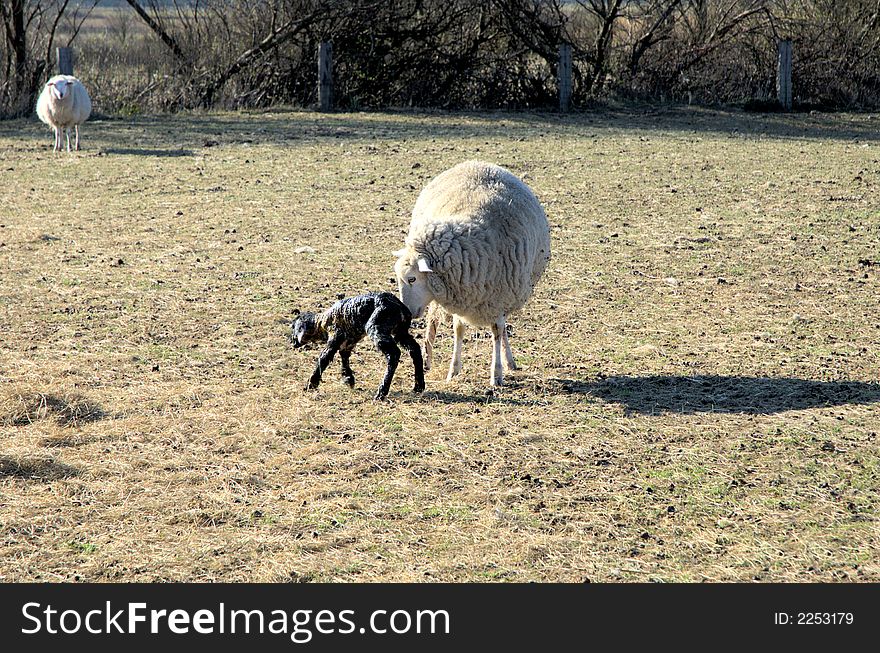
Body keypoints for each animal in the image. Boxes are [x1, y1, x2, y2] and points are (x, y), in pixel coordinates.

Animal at [394, 160, 552, 384]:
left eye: (412, 278)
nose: (406, 312)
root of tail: (477, 163)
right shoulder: (462, 294)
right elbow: (458, 329)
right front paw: (454, 370)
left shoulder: (498, 296)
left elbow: (497, 332)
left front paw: (496, 373)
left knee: (502, 328)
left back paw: (509, 360)